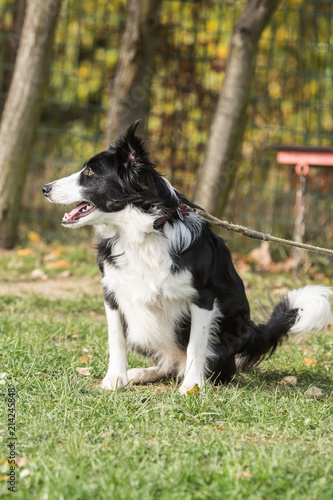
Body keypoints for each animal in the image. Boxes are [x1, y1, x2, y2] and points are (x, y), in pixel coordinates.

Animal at [42, 122, 330, 394]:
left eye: (90, 173)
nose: (44, 188)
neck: (142, 231)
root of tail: (251, 332)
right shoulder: (113, 291)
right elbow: (116, 339)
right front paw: (116, 379)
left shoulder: (203, 297)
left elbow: (196, 345)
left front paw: (192, 387)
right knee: (167, 362)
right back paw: (142, 373)